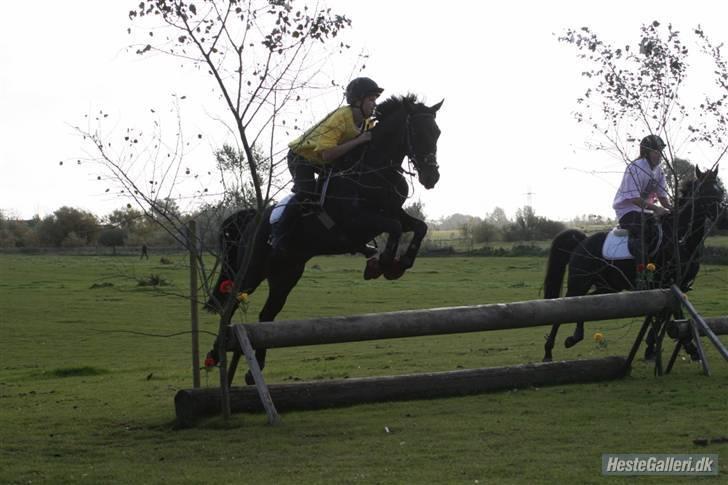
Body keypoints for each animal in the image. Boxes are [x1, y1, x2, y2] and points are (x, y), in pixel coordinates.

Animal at [205, 94, 444, 380]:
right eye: (417, 132)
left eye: (437, 133)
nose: (432, 177)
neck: (375, 170)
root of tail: (251, 220)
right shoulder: (356, 221)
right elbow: (396, 228)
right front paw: (385, 263)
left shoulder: (393, 211)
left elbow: (419, 227)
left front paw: (399, 263)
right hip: (252, 269)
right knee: (230, 304)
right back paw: (215, 352)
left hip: (286, 273)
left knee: (267, 314)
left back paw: (254, 372)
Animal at [544, 164, 724, 362]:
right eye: (704, 192)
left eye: (720, 191)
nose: (723, 219)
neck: (680, 239)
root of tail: (583, 241)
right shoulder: (668, 284)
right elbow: (672, 314)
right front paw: (689, 348)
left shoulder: (677, 287)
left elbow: (664, 315)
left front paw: (652, 348)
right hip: (579, 282)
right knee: (566, 305)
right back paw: (549, 351)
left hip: (608, 286)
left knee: (586, 303)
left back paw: (574, 337)